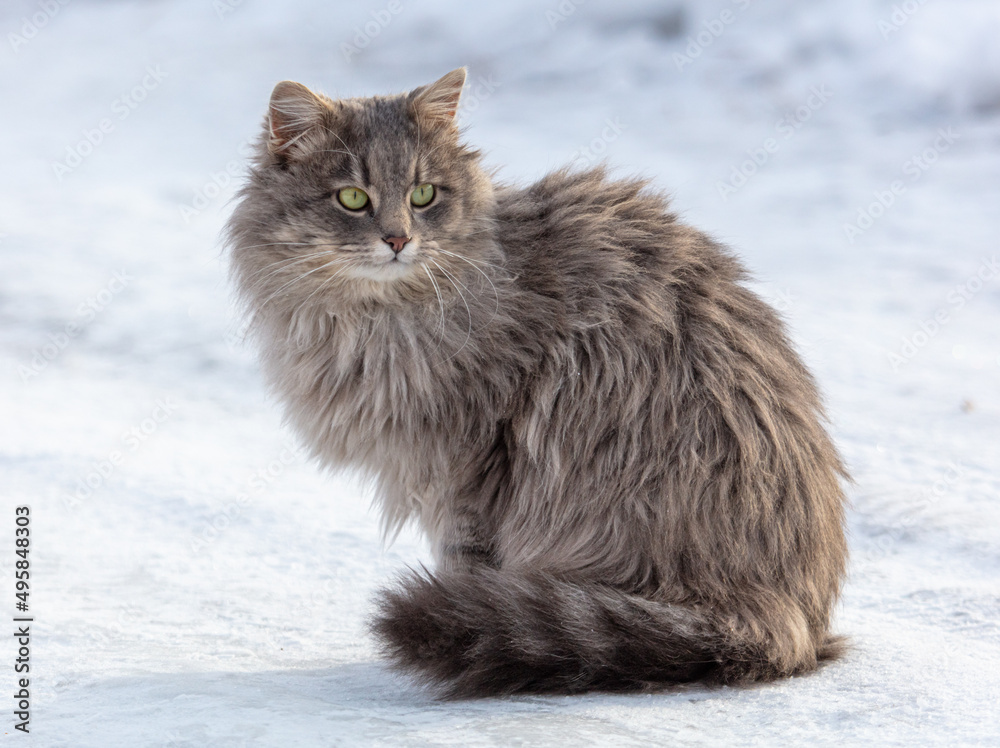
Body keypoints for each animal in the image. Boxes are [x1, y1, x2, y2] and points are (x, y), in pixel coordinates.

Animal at [229, 67, 852, 700]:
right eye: (352, 198)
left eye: (423, 195)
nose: (398, 240)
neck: (374, 319)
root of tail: (794, 617)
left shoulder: (469, 464)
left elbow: (465, 564)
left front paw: (460, 611)